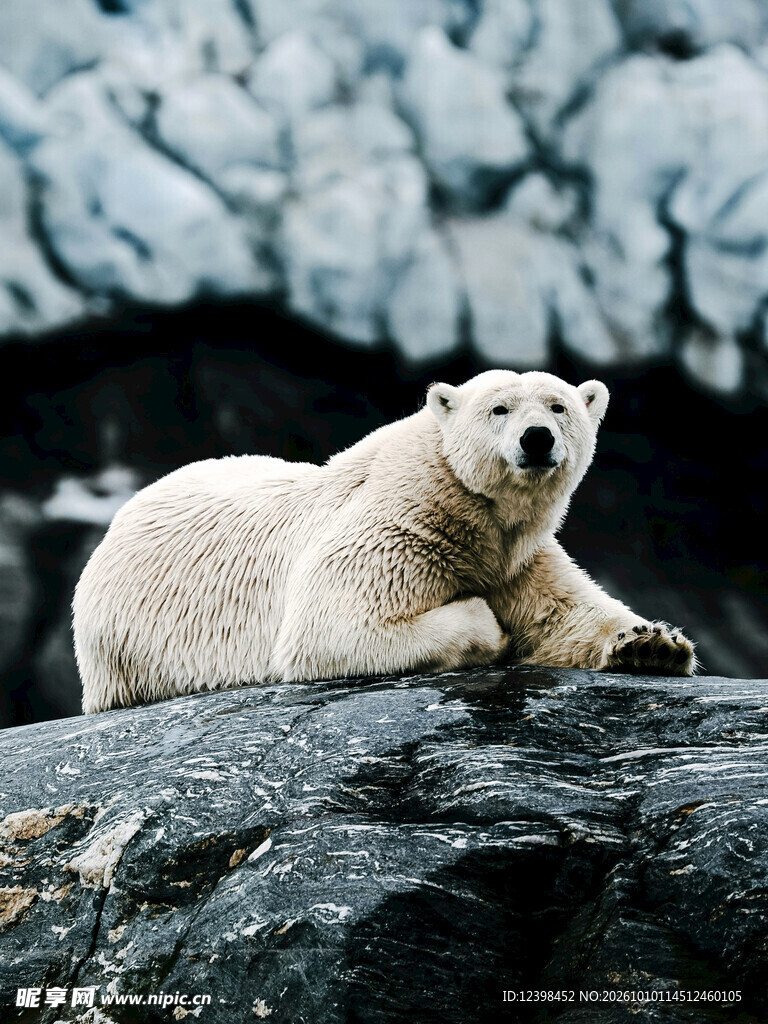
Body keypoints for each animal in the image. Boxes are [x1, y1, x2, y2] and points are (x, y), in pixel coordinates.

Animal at [73, 370, 696, 713]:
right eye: (499, 408)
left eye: (559, 406)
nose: (537, 438)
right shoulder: (397, 528)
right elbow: (332, 627)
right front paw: (488, 625)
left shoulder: (518, 556)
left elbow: (565, 613)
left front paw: (652, 645)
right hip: (132, 644)